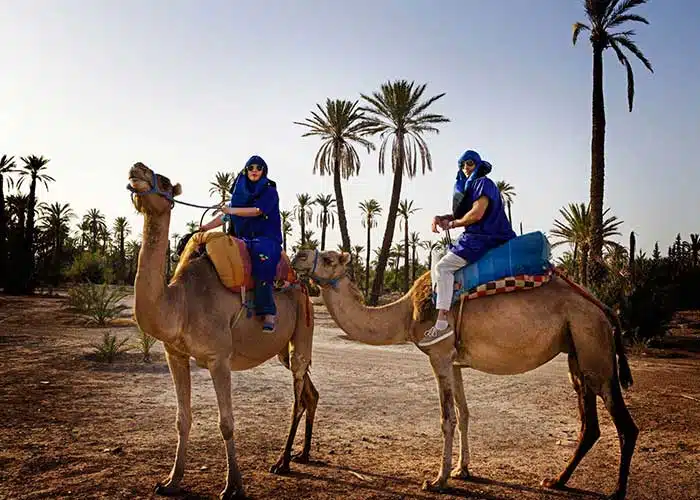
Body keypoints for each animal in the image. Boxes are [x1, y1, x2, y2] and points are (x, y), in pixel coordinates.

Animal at [129, 162, 320, 498]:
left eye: (163, 181)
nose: (136, 168)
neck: (181, 303)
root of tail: (303, 285)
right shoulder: (174, 354)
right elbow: (182, 419)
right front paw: (171, 481)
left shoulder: (219, 357)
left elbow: (226, 423)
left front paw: (233, 487)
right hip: (283, 349)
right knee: (310, 393)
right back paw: (303, 455)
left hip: (303, 329)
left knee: (297, 397)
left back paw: (282, 463)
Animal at [292, 249, 640, 500]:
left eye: (328, 258)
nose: (297, 255)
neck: (405, 314)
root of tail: (604, 310)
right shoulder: (455, 363)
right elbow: (464, 413)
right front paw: (463, 470)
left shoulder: (440, 356)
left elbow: (447, 418)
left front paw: (438, 480)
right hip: (577, 353)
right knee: (590, 425)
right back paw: (556, 481)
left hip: (593, 347)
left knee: (625, 424)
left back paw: (616, 492)